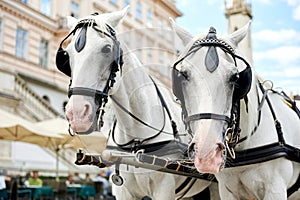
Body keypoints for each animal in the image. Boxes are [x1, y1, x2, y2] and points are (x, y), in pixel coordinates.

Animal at [56, 7, 219, 200]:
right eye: (66, 55)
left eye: (107, 49)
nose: (77, 113)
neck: (136, 139)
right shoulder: (123, 191)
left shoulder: (164, 190)